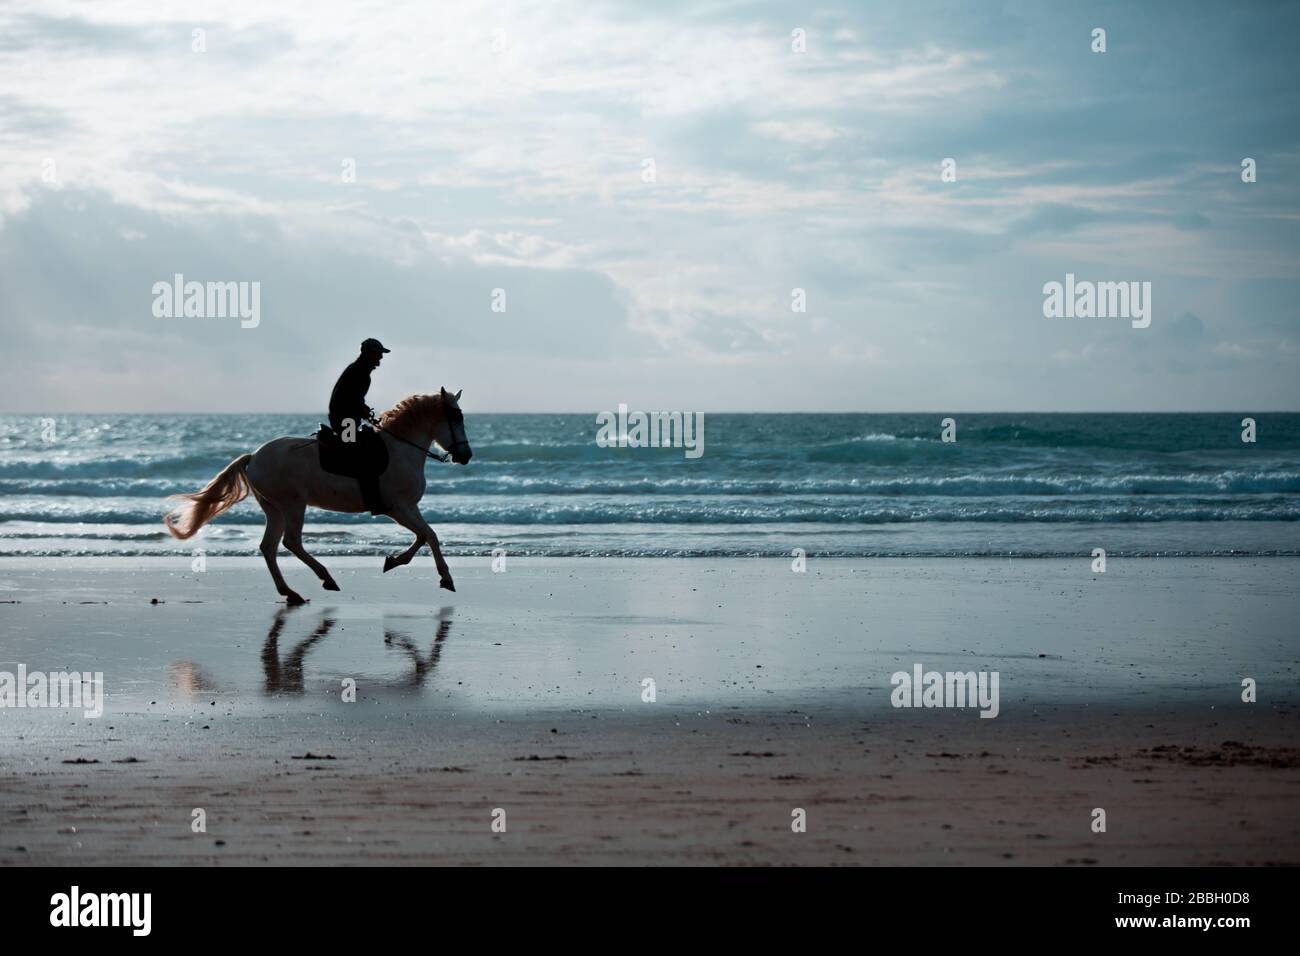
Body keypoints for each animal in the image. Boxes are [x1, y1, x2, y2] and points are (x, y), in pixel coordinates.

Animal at [163, 387, 472, 603]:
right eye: (456, 417)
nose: (466, 455)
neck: (400, 449)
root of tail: (254, 457)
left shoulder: (408, 507)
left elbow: (424, 535)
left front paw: (394, 561)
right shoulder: (397, 508)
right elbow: (429, 535)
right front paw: (445, 578)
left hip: (274, 508)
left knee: (269, 547)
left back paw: (291, 593)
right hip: (293, 505)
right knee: (291, 542)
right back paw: (326, 579)